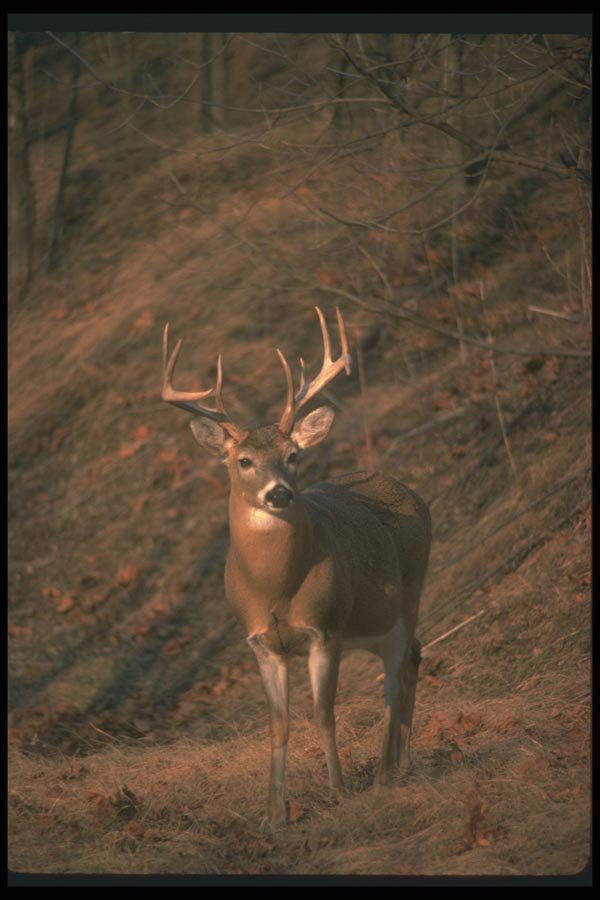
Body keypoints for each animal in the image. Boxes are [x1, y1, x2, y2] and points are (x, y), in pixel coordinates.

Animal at [161, 307, 431, 826]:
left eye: (292, 455)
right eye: (243, 461)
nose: (279, 493)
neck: (275, 588)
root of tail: (412, 493)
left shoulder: (324, 629)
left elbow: (324, 713)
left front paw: (339, 793)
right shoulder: (260, 643)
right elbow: (278, 724)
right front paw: (273, 814)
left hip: (409, 595)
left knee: (396, 676)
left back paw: (385, 774)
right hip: (374, 623)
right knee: (411, 658)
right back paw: (401, 764)